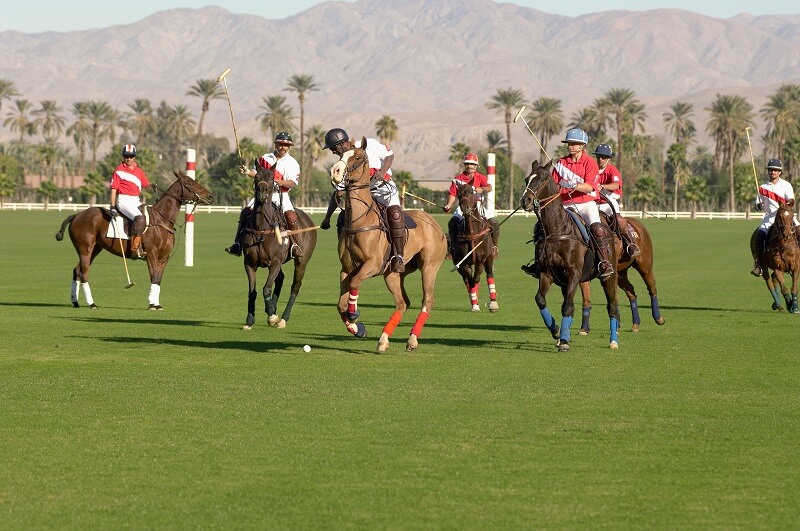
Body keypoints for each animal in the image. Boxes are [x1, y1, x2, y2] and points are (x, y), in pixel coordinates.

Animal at [56, 170, 212, 310]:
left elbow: (158, 279)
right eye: (189, 183)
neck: (162, 219)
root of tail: (76, 215)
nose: (210, 196)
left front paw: (157, 304)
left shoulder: (164, 257)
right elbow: (154, 277)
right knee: (84, 273)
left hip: (95, 249)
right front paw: (151, 304)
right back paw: (91, 304)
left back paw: (75, 302)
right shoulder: (151, 254)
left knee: (77, 270)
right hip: (85, 249)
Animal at [239, 168, 318, 330]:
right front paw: (250, 320)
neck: (262, 229)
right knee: (280, 279)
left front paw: (272, 316)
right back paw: (273, 309)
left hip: (301, 261)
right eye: (256, 176)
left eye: (271, 178)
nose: (262, 193)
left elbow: (266, 288)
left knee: (295, 286)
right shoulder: (249, 263)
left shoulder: (275, 262)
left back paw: (282, 319)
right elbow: (252, 291)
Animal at [328, 139, 446, 352]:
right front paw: (357, 328)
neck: (360, 220)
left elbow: (355, 283)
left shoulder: (372, 264)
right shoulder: (346, 268)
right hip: (394, 273)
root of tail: (436, 224)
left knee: (427, 300)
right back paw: (383, 340)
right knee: (402, 303)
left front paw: (354, 314)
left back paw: (412, 339)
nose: (335, 171)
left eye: (357, 157)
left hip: (429, 266)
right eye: (340, 155)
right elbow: (340, 305)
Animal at [454, 184, 496, 312]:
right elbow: (471, 281)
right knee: (467, 280)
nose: (465, 208)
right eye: (459, 194)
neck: (472, 232)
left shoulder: (480, 260)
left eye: (471, 192)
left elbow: (476, 279)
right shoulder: (464, 263)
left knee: (489, 275)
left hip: (489, 258)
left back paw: (493, 303)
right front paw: (475, 304)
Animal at [520, 160, 624, 352]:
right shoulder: (547, 273)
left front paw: (564, 341)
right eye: (527, 179)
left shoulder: (573, 273)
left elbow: (567, 306)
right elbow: (540, 300)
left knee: (612, 305)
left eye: (543, 179)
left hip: (609, 275)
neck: (557, 231)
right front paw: (556, 331)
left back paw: (613, 341)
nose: (526, 200)